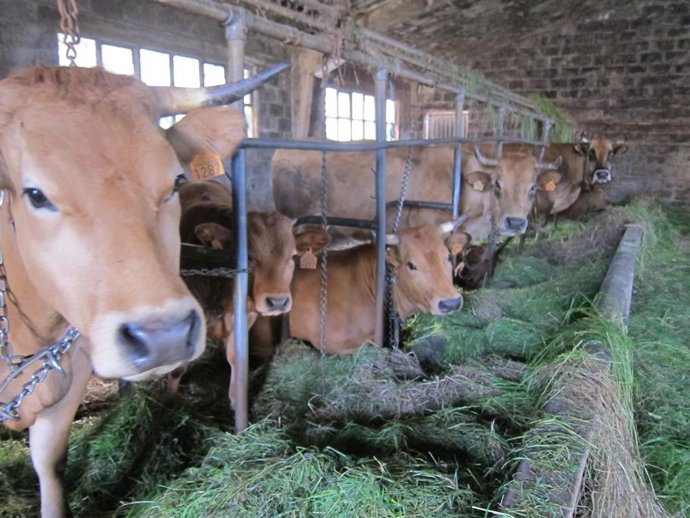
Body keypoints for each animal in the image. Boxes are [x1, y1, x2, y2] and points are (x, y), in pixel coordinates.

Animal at [176, 179, 329, 408]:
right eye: (248, 257)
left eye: (292, 255)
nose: (278, 301)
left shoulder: (246, 316)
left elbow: (237, 357)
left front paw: (236, 399)